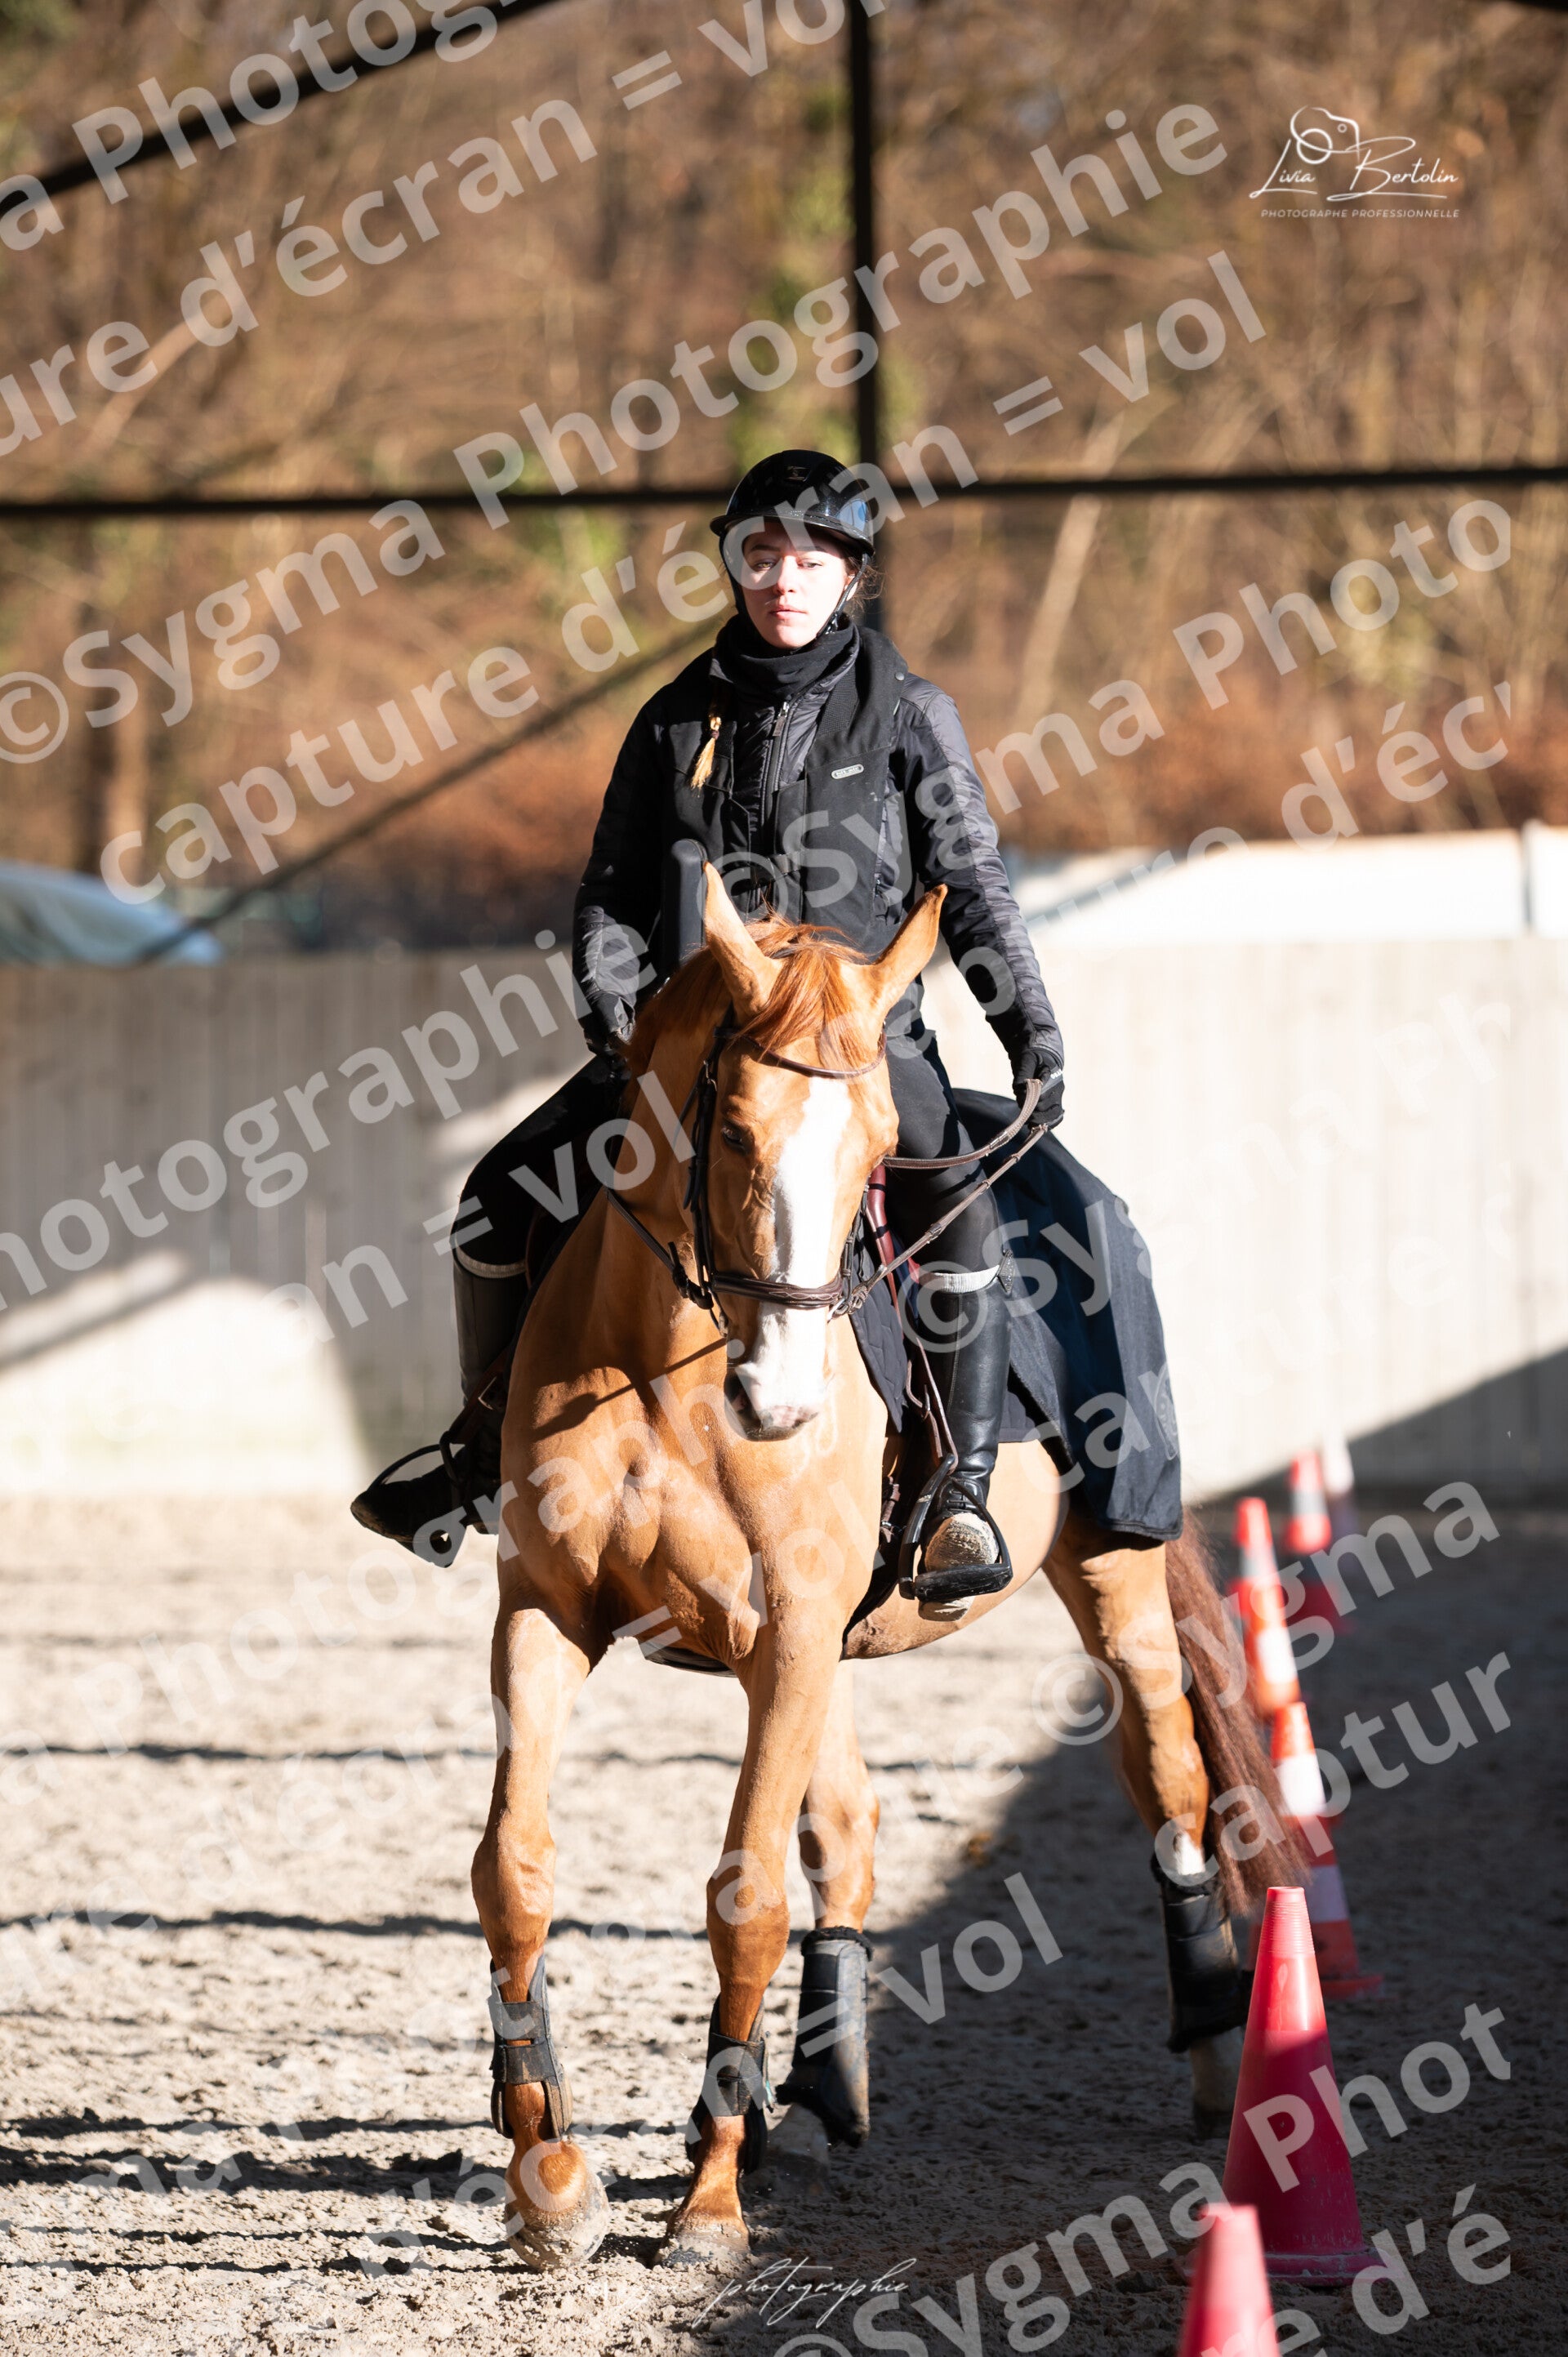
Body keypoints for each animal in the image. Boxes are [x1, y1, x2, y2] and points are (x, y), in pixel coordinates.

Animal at [470, 865, 1294, 2269]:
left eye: (873, 1154)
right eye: (734, 1133)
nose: (782, 1402)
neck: (669, 1370)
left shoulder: (791, 1634)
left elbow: (745, 1895)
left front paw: (709, 2202)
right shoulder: (553, 1615)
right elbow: (515, 1864)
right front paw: (552, 2173)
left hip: (1110, 1572)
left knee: (1170, 1772)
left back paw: (1211, 2043)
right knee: (848, 1832)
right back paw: (822, 2088)